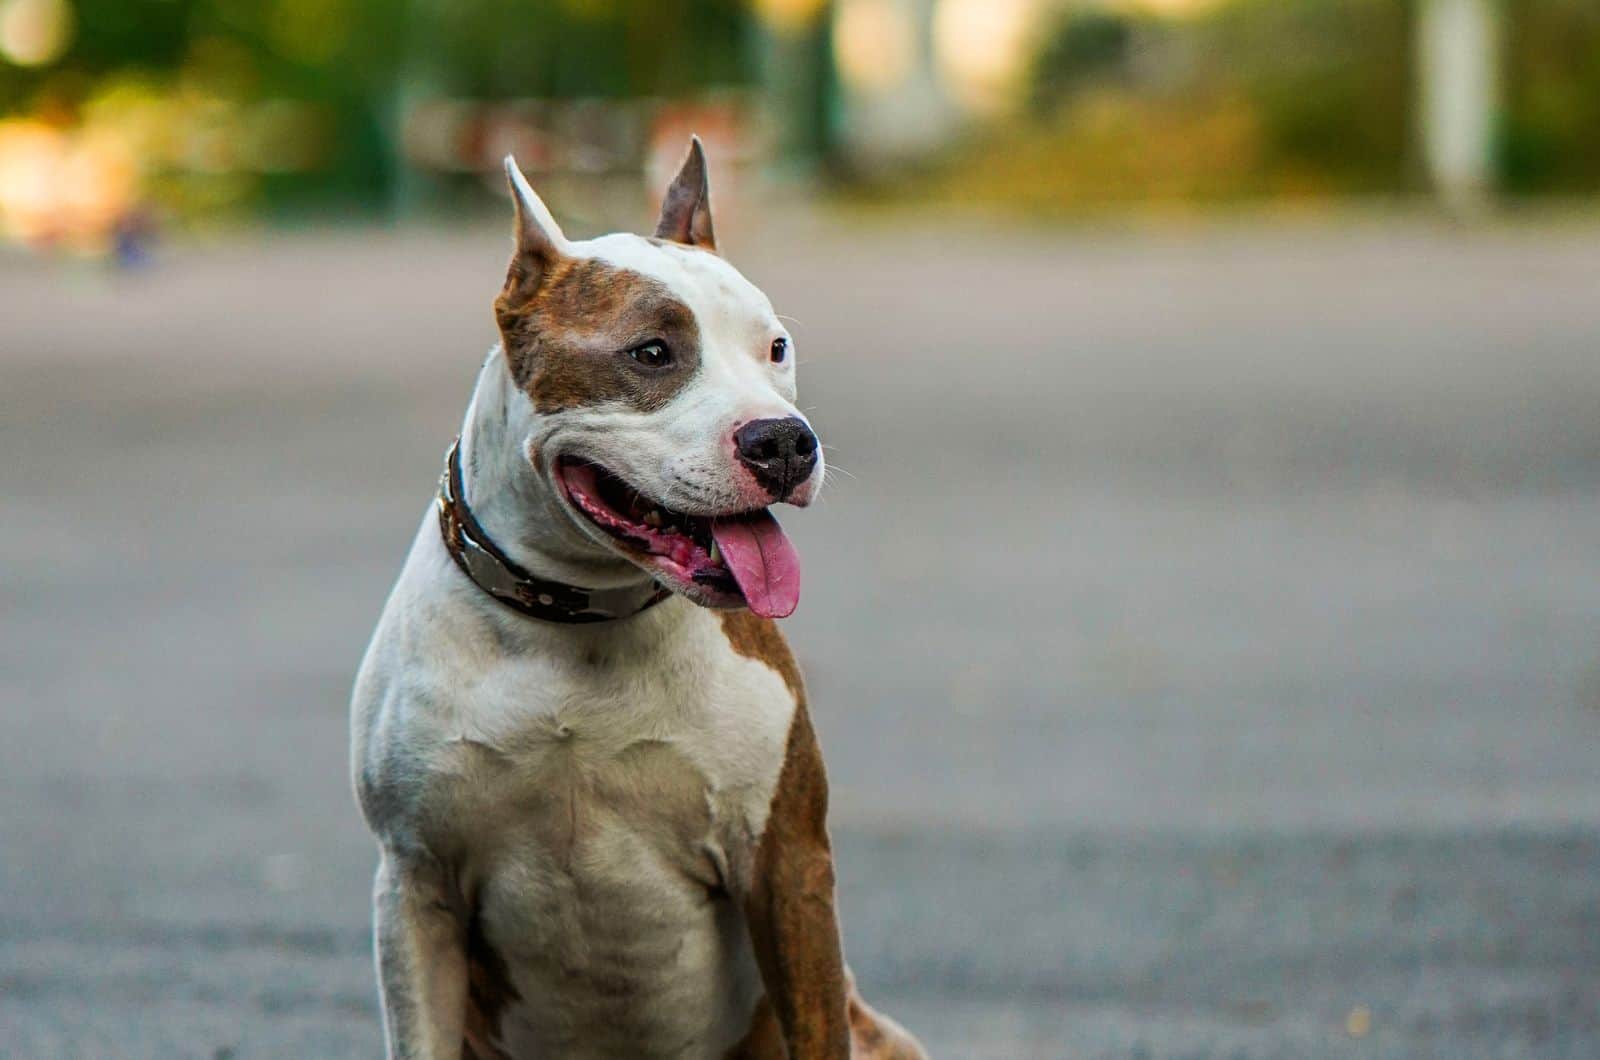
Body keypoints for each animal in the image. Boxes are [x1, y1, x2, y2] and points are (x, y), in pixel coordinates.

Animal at [348, 140, 928, 1060]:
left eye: (776, 347)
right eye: (652, 353)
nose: (785, 441)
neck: (579, 615)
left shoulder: (786, 860)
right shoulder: (414, 885)